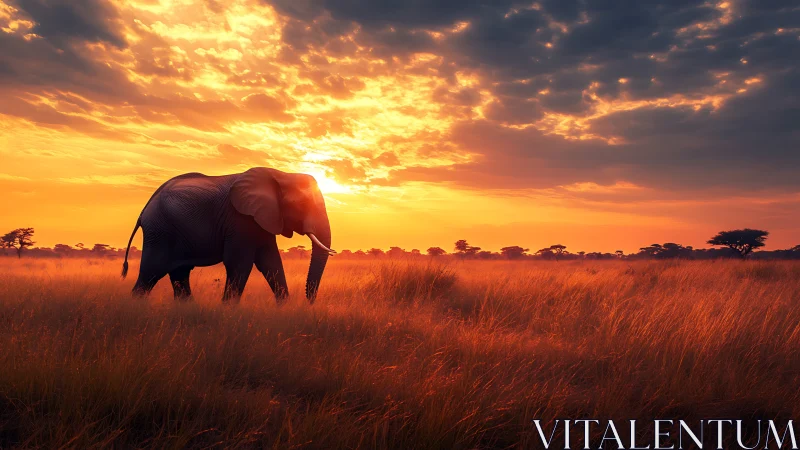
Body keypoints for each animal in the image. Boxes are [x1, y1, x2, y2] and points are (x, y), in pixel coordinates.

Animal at [120, 167, 335, 303]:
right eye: (302, 204)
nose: (309, 302)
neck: (281, 174)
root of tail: (145, 209)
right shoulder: (240, 219)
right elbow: (239, 263)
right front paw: (228, 310)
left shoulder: (262, 219)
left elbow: (271, 262)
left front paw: (284, 308)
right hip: (160, 232)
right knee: (151, 272)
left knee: (179, 273)